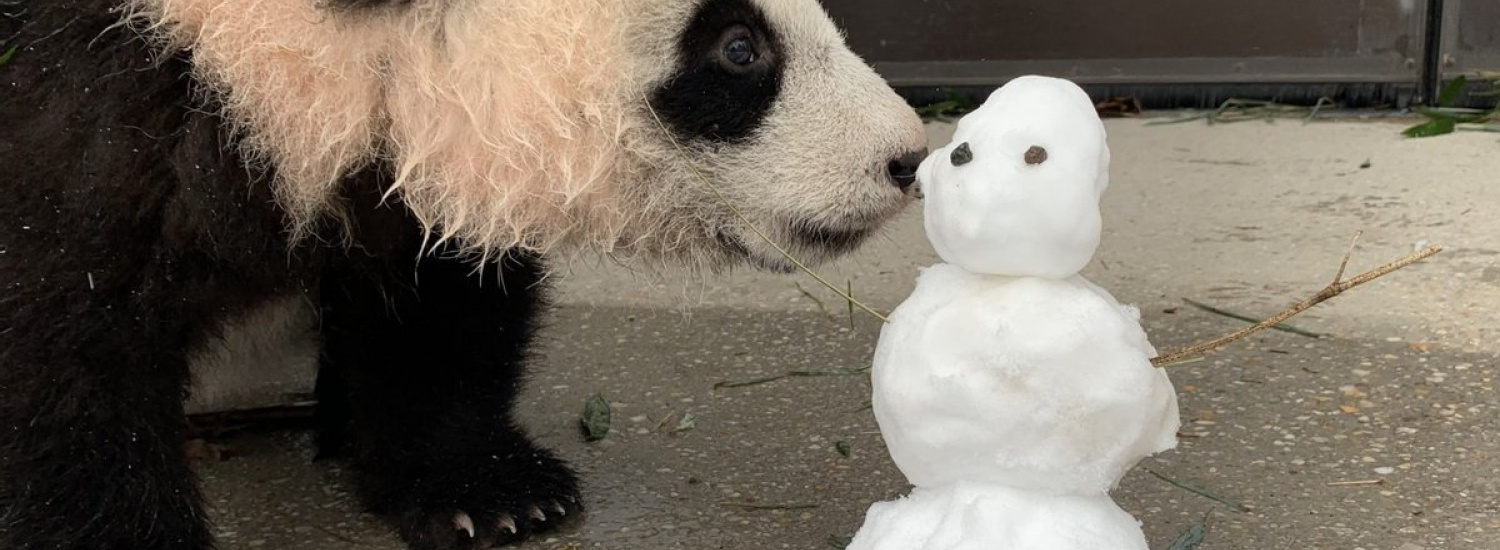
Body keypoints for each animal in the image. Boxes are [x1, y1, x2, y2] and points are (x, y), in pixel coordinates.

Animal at [0, 0, 924, 548]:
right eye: (738, 48)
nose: (907, 157)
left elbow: (437, 306)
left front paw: (492, 491)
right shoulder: (89, 101)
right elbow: (63, 354)